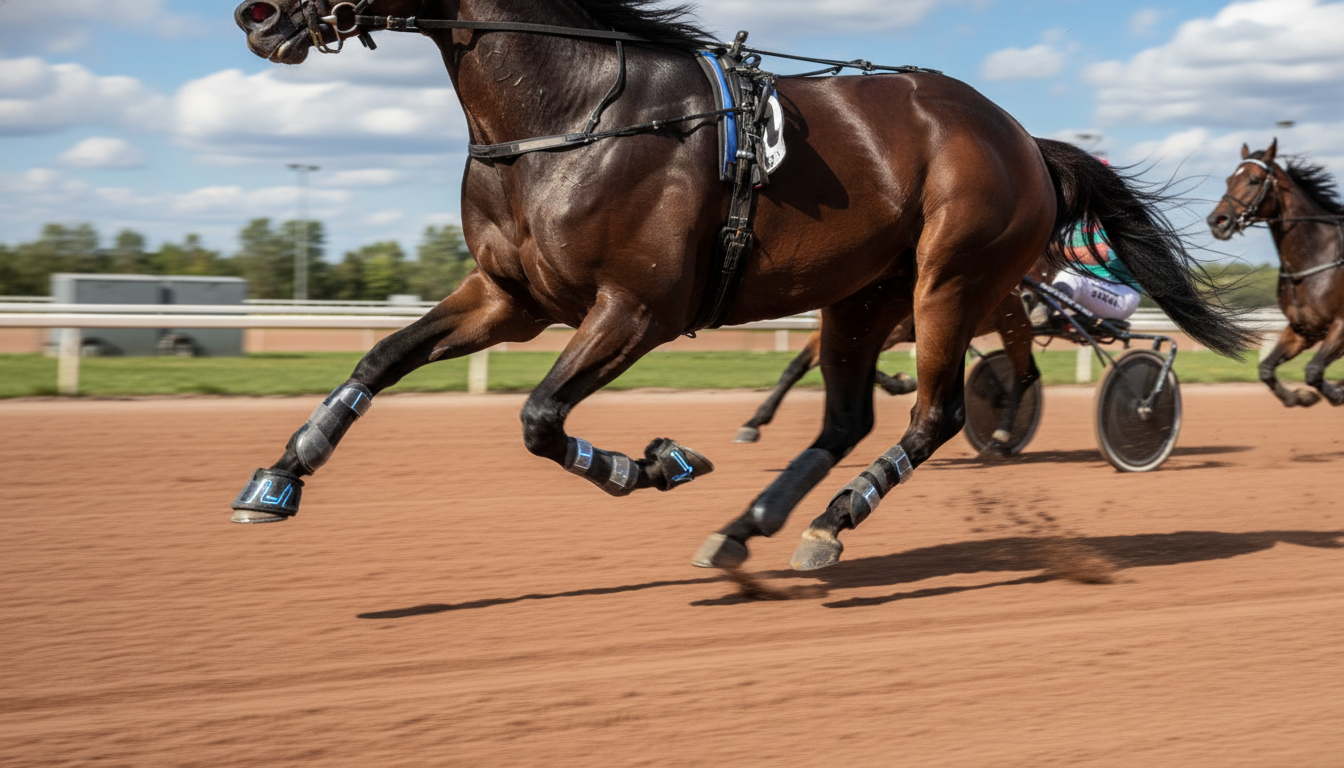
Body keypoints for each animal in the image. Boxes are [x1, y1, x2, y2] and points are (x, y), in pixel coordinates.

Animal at [232, 0, 1250, 574]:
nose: (256, 14)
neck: (576, 111)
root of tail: (1023, 139)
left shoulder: (637, 307)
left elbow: (539, 419)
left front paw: (654, 464)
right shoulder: (511, 299)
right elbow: (383, 354)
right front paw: (281, 475)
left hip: (950, 280)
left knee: (938, 411)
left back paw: (834, 519)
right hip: (863, 294)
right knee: (849, 417)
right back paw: (755, 522)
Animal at [1208, 140, 1344, 407]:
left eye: (1254, 179)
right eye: (1229, 179)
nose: (1217, 221)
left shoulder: (1341, 325)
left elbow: (1313, 370)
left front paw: (1335, 394)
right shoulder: (1304, 329)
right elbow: (1267, 369)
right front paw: (1299, 397)